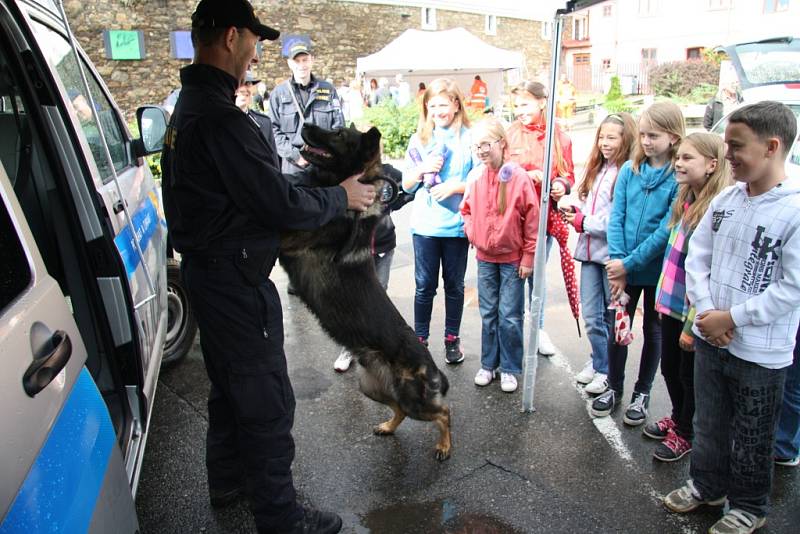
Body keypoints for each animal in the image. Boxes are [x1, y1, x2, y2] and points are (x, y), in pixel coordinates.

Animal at [282, 124, 454, 460]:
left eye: (337, 134)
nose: (305, 125)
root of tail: (433, 369)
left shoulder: (289, 235)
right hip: (371, 388)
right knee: (400, 410)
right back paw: (387, 427)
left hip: (412, 397)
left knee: (444, 413)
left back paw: (444, 445)